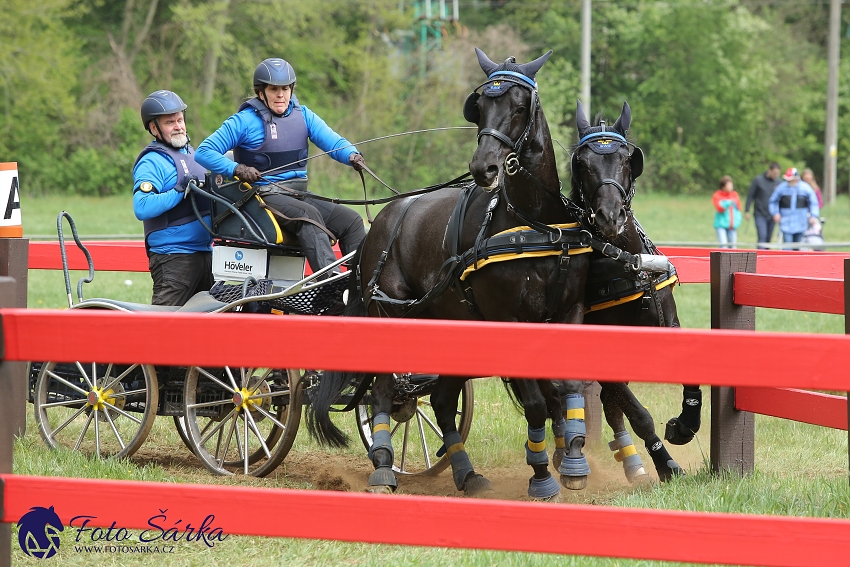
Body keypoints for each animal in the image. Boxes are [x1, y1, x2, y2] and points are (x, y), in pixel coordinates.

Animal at [304, 50, 588, 502]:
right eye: (481, 107)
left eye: (520, 107)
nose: (483, 167)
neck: (533, 224)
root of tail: (380, 223)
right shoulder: (508, 320)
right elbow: (536, 401)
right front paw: (542, 475)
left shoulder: (568, 312)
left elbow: (566, 387)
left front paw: (573, 461)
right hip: (390, 316)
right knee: (384, 391)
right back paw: (383, 467)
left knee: (437, 399)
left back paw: (466, 473)